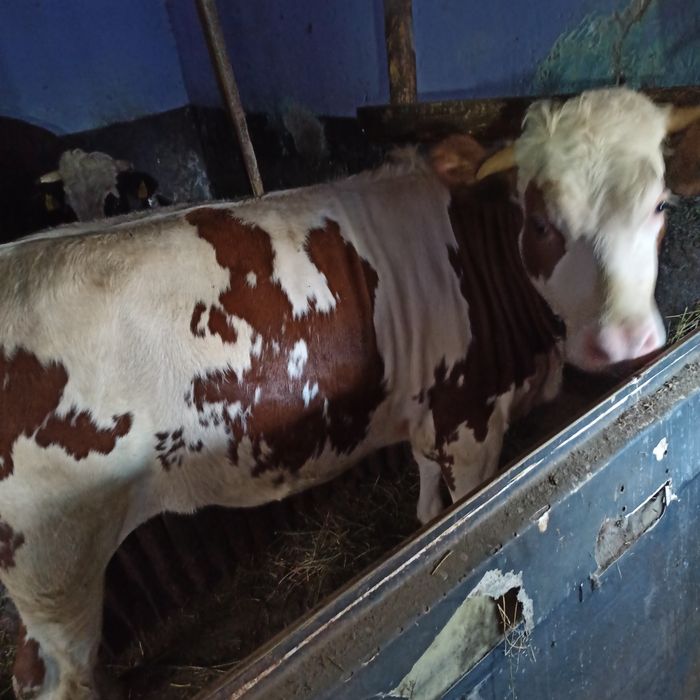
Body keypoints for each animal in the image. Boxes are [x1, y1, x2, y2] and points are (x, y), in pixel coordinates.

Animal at [1, 87, 699, 699]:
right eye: (544, 223)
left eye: (660, 206)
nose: (626, 340)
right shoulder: (469, 420)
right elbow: (463, 530)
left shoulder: (427, 410)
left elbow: (425, 505)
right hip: (54, 564)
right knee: (53, 676)